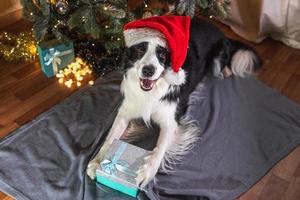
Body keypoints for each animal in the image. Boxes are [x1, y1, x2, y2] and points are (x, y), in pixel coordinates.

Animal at [85, 16, 262, 188]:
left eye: (162, 55)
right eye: (141, 49)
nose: (148, 71)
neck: (152, 91)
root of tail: (219, 31)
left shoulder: (171, 122)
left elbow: (160, 147)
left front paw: (148, 172)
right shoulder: (126, 111)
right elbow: (110, 138)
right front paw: (97, 161)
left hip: (218, 56)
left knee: (223, 63)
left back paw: (226, 71)